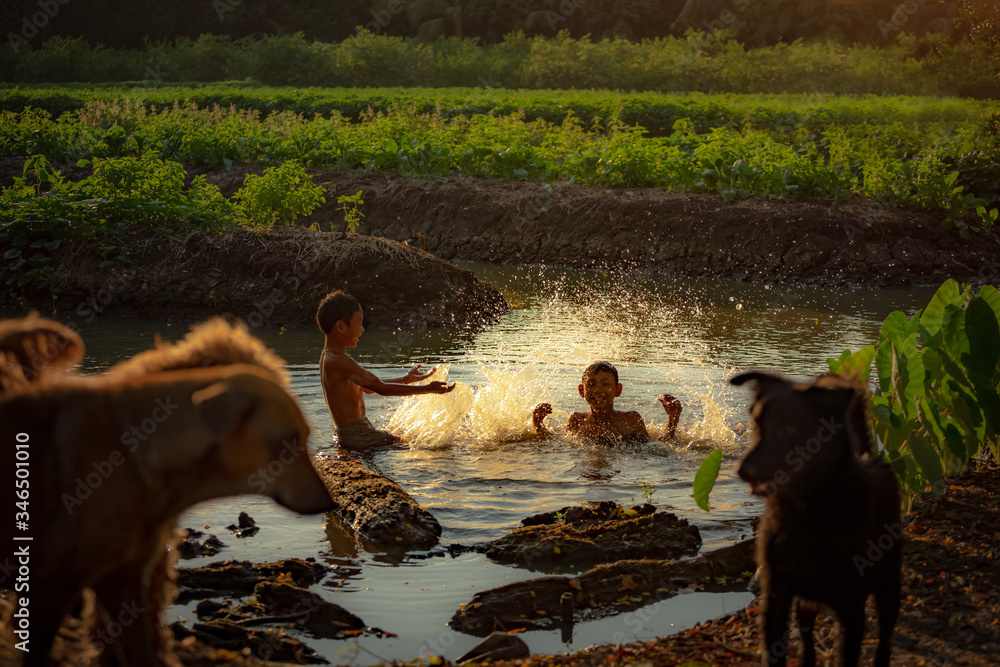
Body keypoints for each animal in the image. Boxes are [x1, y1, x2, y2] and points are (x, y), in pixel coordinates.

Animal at [732, 374, 904, 664]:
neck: (806, 512)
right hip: (806, 601)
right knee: (807, 636)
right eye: (756, 424)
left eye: (788, 428)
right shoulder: (776, 597)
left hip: (889, 584)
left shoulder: (851, 608)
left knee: (885, 636)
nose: (743, 471)